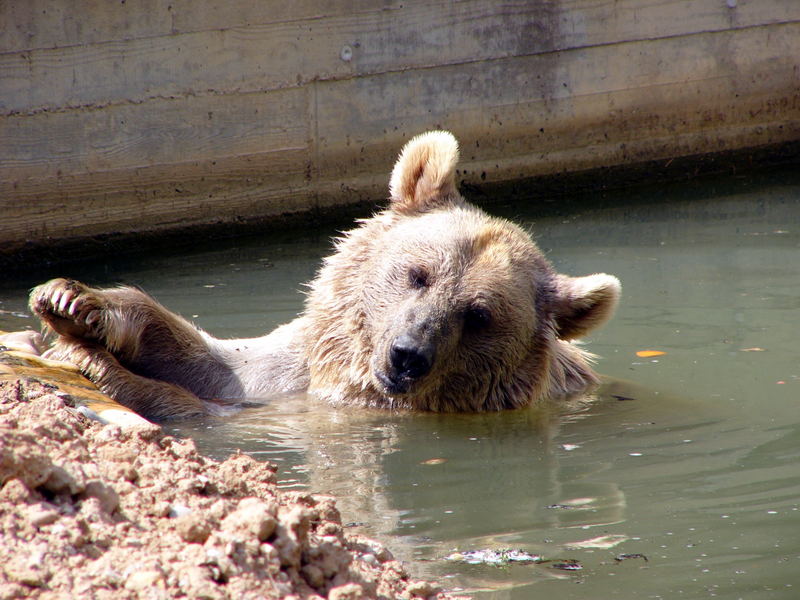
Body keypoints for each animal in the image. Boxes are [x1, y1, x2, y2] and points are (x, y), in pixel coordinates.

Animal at [28, 131, 620, 422]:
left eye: (479, 315)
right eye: (418, 274)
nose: (407, 356)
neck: (351, 378)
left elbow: (202, 404)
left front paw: (88, 358)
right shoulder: (299, 364)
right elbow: (219, 364)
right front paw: (71, 302)